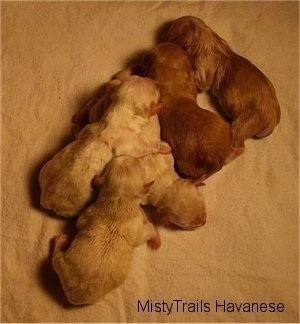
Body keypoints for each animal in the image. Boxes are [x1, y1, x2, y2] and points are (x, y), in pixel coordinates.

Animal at [38, 76, 170, 218]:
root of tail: (47, 200)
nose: (156, 81)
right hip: (73, 210)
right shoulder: (134, 146)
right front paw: (165, 147)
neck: (121, 112)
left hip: (45, 168)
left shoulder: (88, 127)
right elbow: (149, 145)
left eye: (139, 77)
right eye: (156, 90)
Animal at [52, 156, 159, 306]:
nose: (125, 155)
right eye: (136, 162)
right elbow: (147, 230)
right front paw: (155, 236)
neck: (119, 200)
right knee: (56, 258)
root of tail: (75, 294)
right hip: (61, 264)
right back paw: (60, 242)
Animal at [166, 15, 282, 155]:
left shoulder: (203, 73)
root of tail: (273, 120)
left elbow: (197, 78)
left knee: (239, 147)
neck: (207, 39)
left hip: (244, 123)